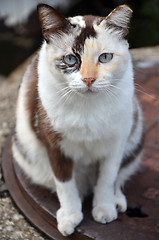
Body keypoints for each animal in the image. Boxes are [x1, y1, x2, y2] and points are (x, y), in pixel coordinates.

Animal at [12, 3, 144, 236]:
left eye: (105, 57)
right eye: (70, 59)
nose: (89, 79)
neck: (87, 108)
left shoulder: (117, 141)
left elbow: (108, 177)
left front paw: (104, 208)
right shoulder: (54, 144)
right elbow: (65, 184)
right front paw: (70, 216)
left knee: (119, 175)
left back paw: (117, 200)